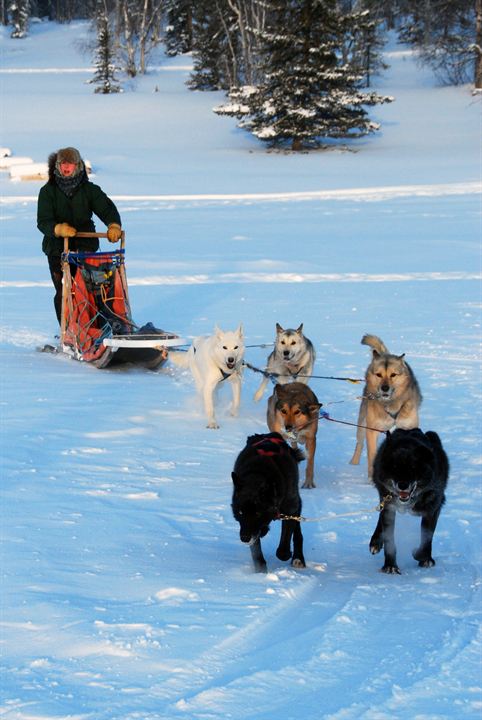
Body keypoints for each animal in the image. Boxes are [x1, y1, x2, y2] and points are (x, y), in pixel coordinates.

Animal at [233, 434, 306, 572]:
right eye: (240, 512)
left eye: (257, 513)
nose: (244, 538)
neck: (258, 473)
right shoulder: (252, 530)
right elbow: (256, 552)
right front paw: (261, 571)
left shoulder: (290, 510)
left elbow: (283, 546)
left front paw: (286, 554)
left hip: (296, 504)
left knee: (297, 533)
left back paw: (298, 558)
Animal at [370, 428, 450, 572]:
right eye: (395, 467)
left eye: (413, 467)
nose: (402, 485)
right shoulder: (390, 508)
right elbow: (389, 540)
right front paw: (390, 566)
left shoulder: (433, 509)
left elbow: (426, 538)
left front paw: (423, 557)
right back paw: (376, 541)